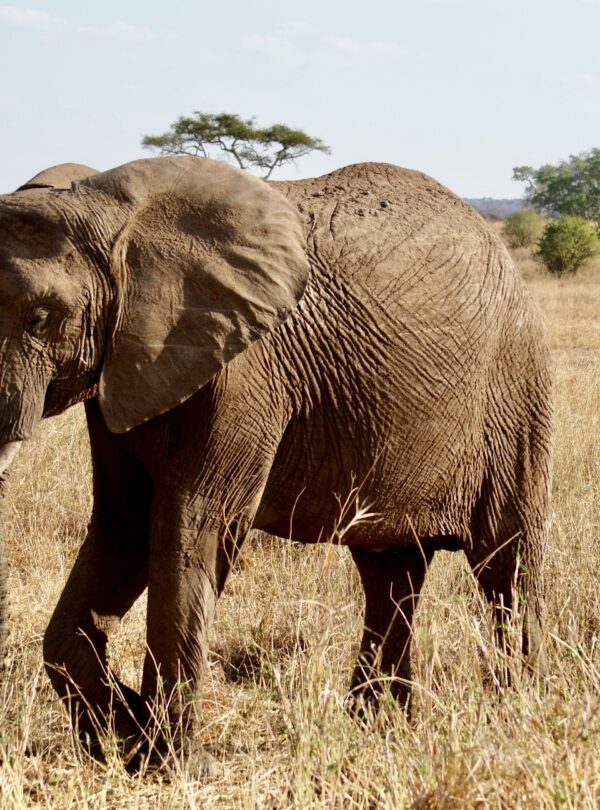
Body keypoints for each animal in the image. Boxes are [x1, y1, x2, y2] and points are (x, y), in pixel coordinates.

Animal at [0, 156, 553, 772]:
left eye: (40, 320)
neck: (104, 206)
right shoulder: (120, 369)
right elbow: (123, 526)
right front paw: (124, 736)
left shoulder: (247, 373)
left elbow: (192, 526)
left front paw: (172, 762)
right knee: (390, 575)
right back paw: (380, 731)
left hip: (514, 394)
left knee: (506, 565)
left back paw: (516, 721)